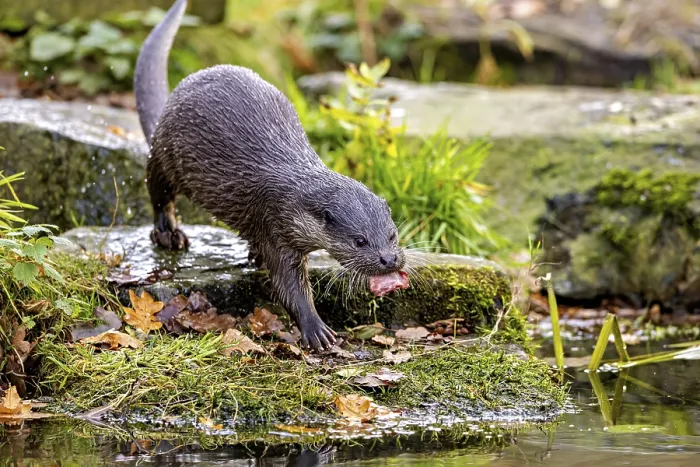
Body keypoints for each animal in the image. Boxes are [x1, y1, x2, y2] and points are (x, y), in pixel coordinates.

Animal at [134, 0, 408, 351]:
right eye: (360, 241)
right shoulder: (274, 223)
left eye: (392, 235)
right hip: (164, 155)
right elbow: (288, 286)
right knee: (159, 194)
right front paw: (316, 329)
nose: (390, 260)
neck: (295, 195)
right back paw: (170, 234)